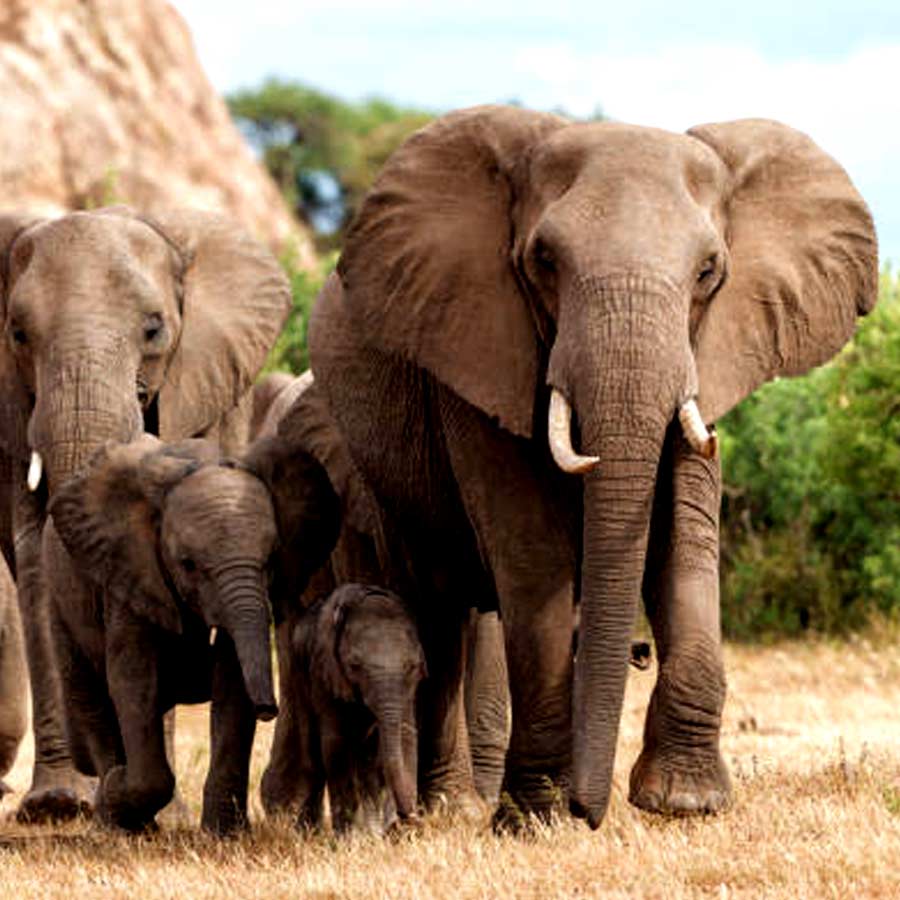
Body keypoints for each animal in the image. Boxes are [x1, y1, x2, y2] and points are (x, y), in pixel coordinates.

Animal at [292, 582, 426, 832]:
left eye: (412, 667)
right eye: (354, 665)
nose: (410, 818)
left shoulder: (408, 691)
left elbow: (406, 737)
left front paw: (394, 833)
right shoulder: (324, 673)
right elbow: (335, 744)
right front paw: (347, 838)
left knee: (367, 761)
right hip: (296, 672)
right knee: (312, 752)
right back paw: (309, 832)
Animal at [307, 106, 878, 829]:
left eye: (709, 271)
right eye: (543, 262)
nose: (592, 809)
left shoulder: (707, 356)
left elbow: (683, 542)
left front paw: (683, 803)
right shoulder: (476, 348)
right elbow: (532, 551)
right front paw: (536, 819)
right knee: (435, 605)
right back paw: (446, 810)